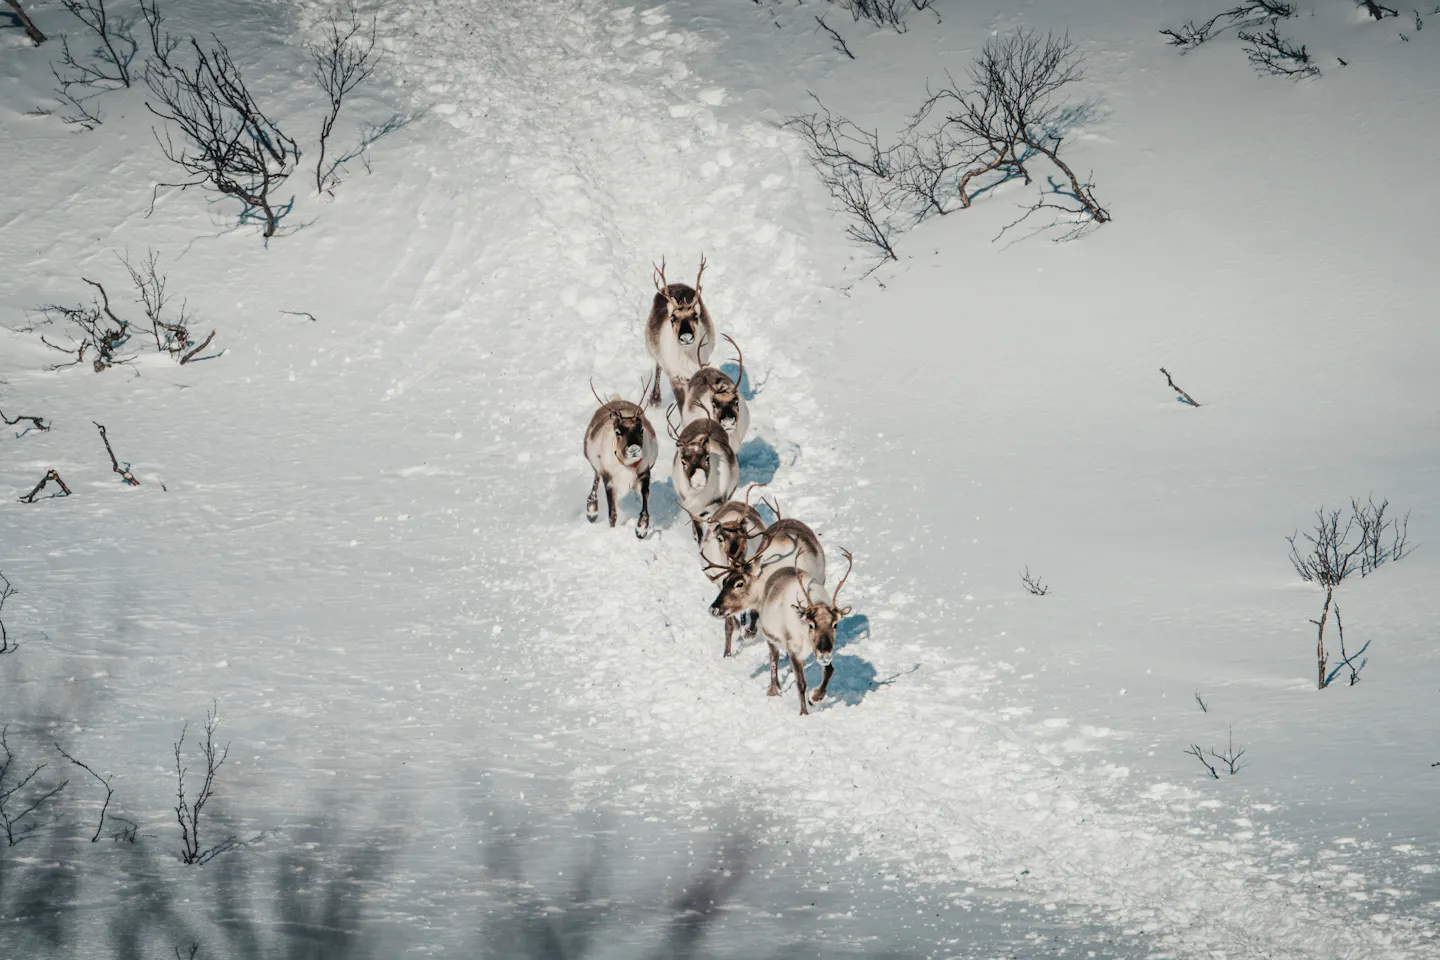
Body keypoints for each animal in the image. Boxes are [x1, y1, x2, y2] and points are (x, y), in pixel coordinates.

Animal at [583, 377, 658, 538]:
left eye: (641, 430)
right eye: (618, 432)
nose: (634, 449)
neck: (627, 465)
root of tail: (616, 399)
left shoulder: (645, 472)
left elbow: (645, 496)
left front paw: (641, 529)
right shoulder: (609, 478)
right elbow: (612, 513)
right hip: (597, 466)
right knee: (595, 480)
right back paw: (591, 512)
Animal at [645, 255, 715, 409]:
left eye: (696, 316)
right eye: (672, 318)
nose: (686, 337)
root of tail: (674, 284)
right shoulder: (674, 377)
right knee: (658, 367)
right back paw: (655, 399)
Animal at [754, 550, 853, 716]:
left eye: (835, 624)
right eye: (811, 625)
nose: (825, 652)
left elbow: (829, 670)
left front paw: (815, 697)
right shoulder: (793, 649)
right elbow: (801, 683)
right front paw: (804, 713)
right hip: (770, 637)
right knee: (774, 656)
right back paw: (774, 689)